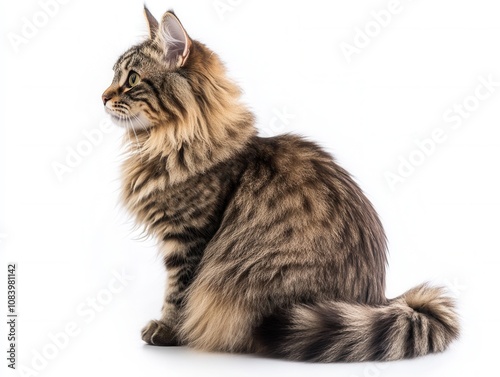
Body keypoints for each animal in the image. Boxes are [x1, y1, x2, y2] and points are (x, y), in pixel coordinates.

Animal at [102, 7, 460, 362]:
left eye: (131, 80)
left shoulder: (189, 239)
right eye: (113, 77)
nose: (102, 97)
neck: (168, 143)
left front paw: (166, 331)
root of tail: (375, 303)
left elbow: (177, 294)